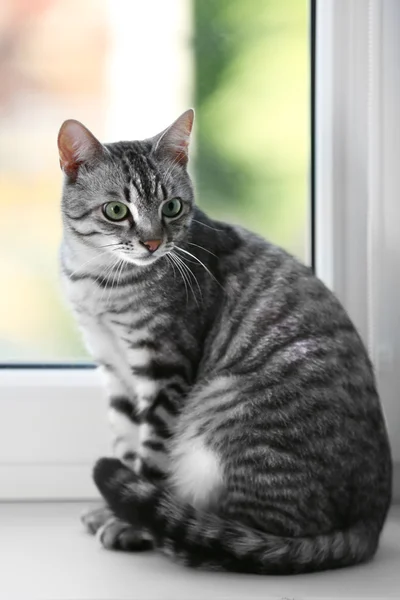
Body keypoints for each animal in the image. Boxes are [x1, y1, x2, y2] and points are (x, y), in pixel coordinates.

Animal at [57, 110, 392, 576]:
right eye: (116, 210)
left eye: (172, 207)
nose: (153, 242)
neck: (99, 280)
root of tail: (369, 523)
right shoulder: (113, 367)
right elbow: (125, 442)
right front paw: (114, 508)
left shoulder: (165, 367)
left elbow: (151, 453)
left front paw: (130, 522)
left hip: (225, 420)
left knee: (249, 534)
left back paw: (185, 529)